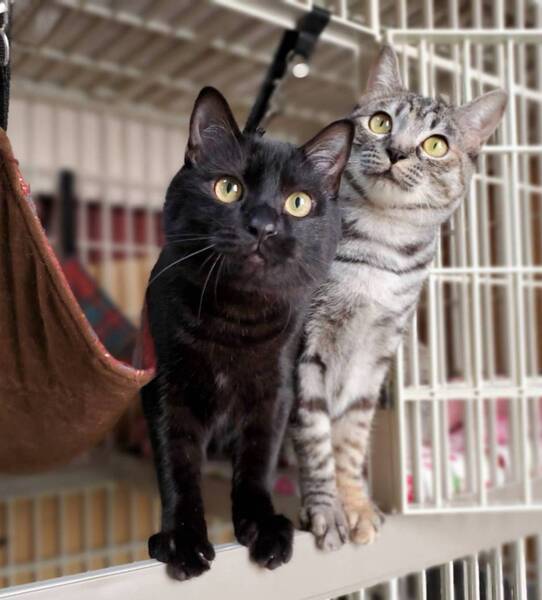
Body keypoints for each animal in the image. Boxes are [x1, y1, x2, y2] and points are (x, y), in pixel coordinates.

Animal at [141, 86, 354, 580]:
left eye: (298, 202)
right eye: (228, 187)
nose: (263, 225)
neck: (235, 319)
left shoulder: (274, 393)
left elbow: (257, 461)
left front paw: (265, 528)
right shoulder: (165, 391)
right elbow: (178, 466)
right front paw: (182, 541)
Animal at [290, 45, 507, 551]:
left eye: (435, 145)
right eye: (381, 122)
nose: (396, 151)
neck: (380, 248)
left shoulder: (375, 352)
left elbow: (349, 438)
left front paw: (355, 505)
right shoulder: (306, 345)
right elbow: (315, 436)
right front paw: (325, 509)